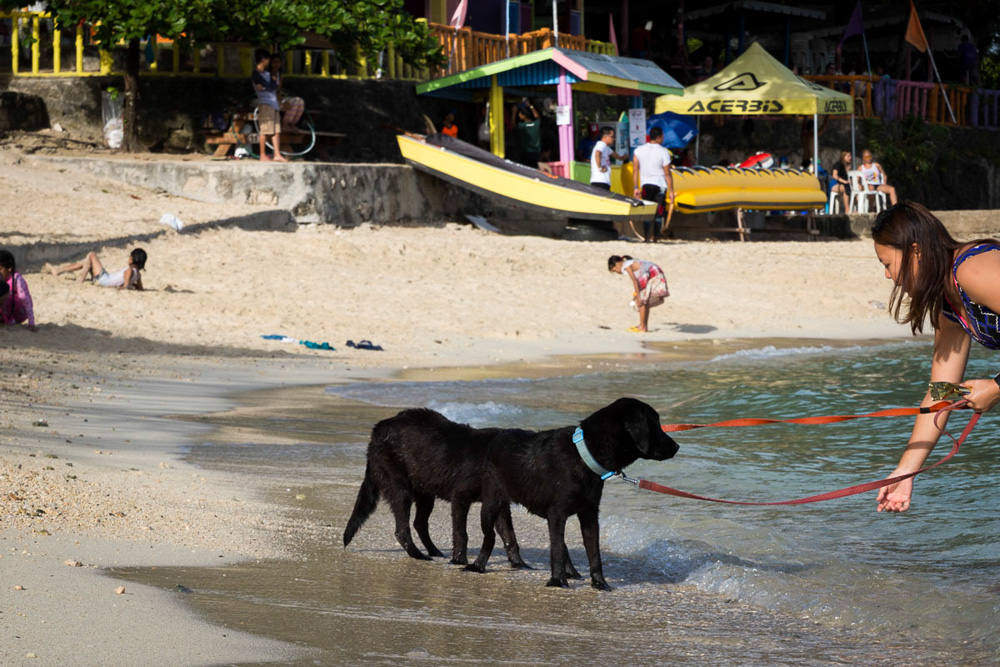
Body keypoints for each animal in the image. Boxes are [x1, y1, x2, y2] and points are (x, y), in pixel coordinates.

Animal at [344, 408, 532, 568]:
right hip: (400, 490)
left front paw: (520, 564)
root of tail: (377, 430)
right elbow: (461, 533)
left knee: (419, 523)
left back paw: (434, 551)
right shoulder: (460, 498)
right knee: (402, 530)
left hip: (426, 494)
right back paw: (418, 555)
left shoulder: (499, 505)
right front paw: (459, 560)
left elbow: (510, 536)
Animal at [464, 396, 676, 588]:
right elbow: (557, 549)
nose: (677, 446)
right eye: (655, 425)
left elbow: (593, 553)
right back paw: (477, 566)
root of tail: (496, 437)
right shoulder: (557, 513)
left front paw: (600, 583)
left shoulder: (589, 514)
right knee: (489, 537)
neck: (583, 455)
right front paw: (557, 581)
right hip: (491, 503)